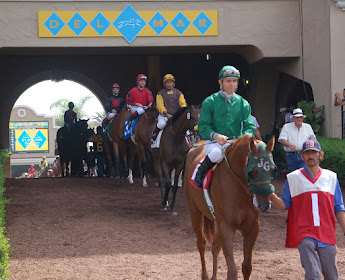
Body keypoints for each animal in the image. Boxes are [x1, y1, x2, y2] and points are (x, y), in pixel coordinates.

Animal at [184, 135, 276, 278]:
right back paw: (205, 275)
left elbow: (247, 267)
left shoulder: (253, 227)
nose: (264, 205)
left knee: (215, 246)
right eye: (252, 172)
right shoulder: (227, 227)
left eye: (272, 169)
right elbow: (232, 271)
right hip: (195, 213)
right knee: (201, 244)